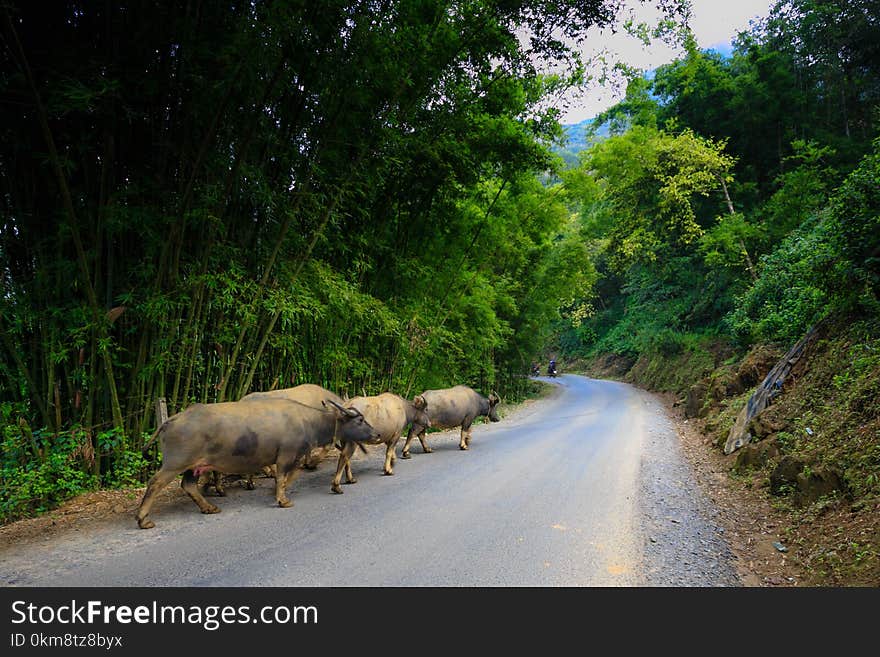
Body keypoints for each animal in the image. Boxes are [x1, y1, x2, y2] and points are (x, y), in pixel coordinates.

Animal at [136, 394, 376, 528]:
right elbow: (282, 476)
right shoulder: (287, 455)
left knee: (188, 485)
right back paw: (143, 519)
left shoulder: (296, 456)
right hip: (175, 463)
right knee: (155, 483)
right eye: (360, 420)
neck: (308, 421)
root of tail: (172, 419)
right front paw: (283, 500)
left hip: (194, 466)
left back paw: (209, 507)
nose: (375, 434)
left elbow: (290, 475)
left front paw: (276, 493)